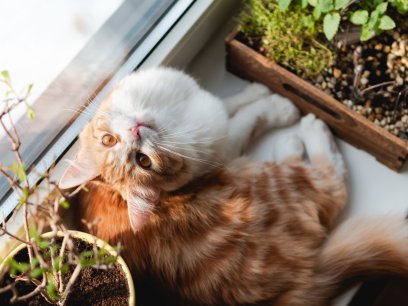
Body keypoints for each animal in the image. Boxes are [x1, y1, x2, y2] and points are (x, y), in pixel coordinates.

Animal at [59, 67, 408, 306]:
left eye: (140, 159)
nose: (135, 129)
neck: (170, 118)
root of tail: (301, 284)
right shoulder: (224, 146)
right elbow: (249, 118)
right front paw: (280, 106)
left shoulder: (206, 108)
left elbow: (230, 102)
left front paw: (257, 89)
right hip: (270, 182)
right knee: (331, 181)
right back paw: (302, 134)